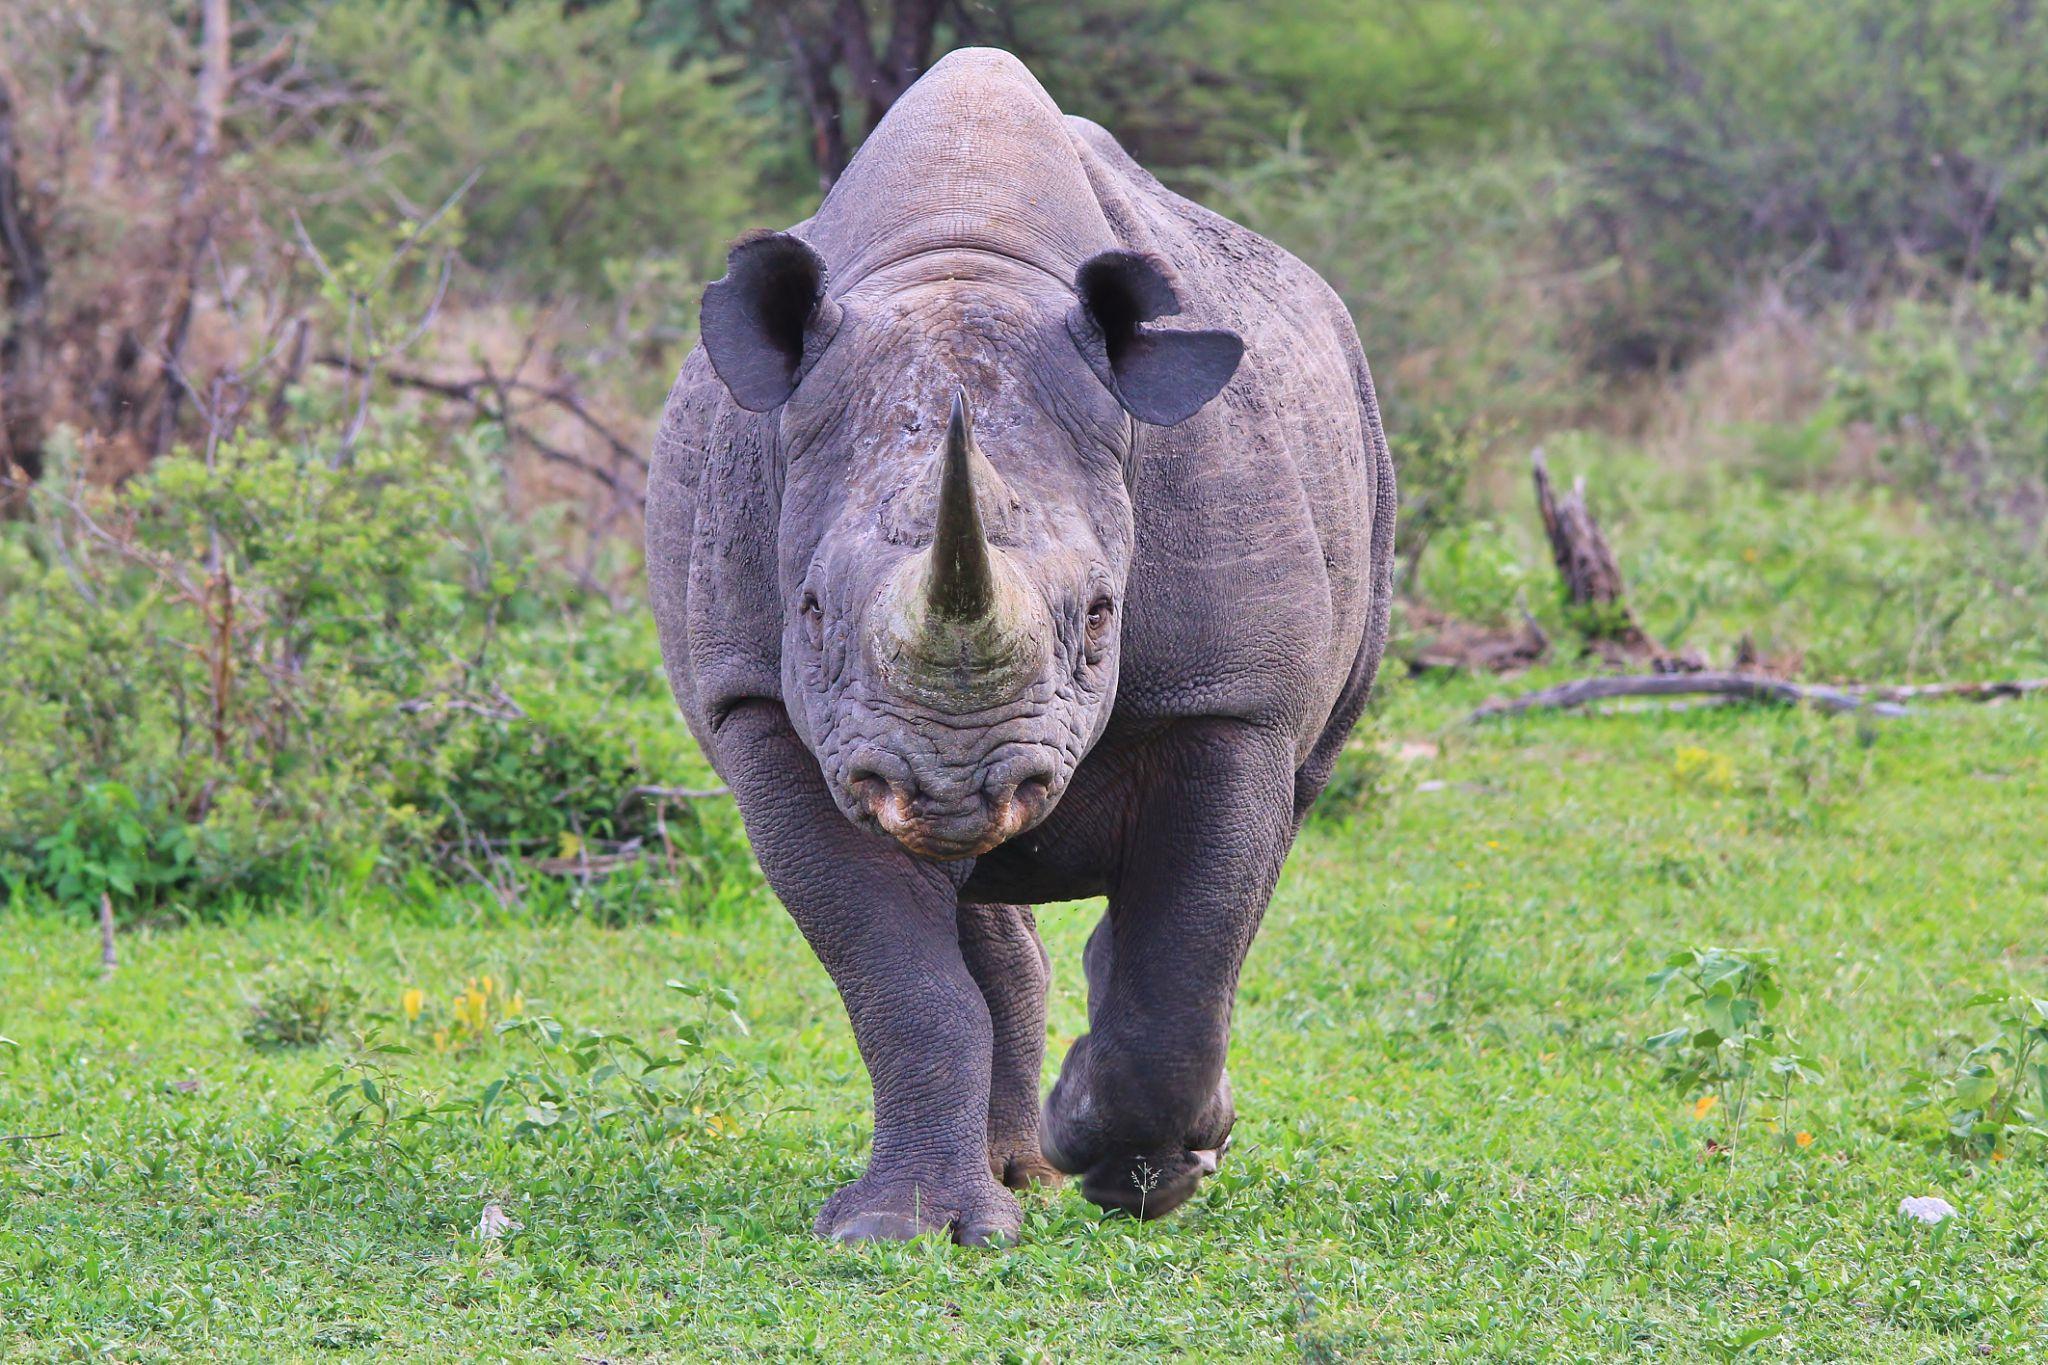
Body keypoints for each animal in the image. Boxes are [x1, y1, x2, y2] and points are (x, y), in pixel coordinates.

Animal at [648, 48, 1393, 1245]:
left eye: (1098, 617)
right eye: (807, 614)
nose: (954, 787)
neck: (965, 260)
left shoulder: (1229, 696)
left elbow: (1190, 940)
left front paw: (1127, 1165)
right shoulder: (760, 704)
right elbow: (897, 978)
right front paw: (903, 1229)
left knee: (1277, 826)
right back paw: (1011, 1175)